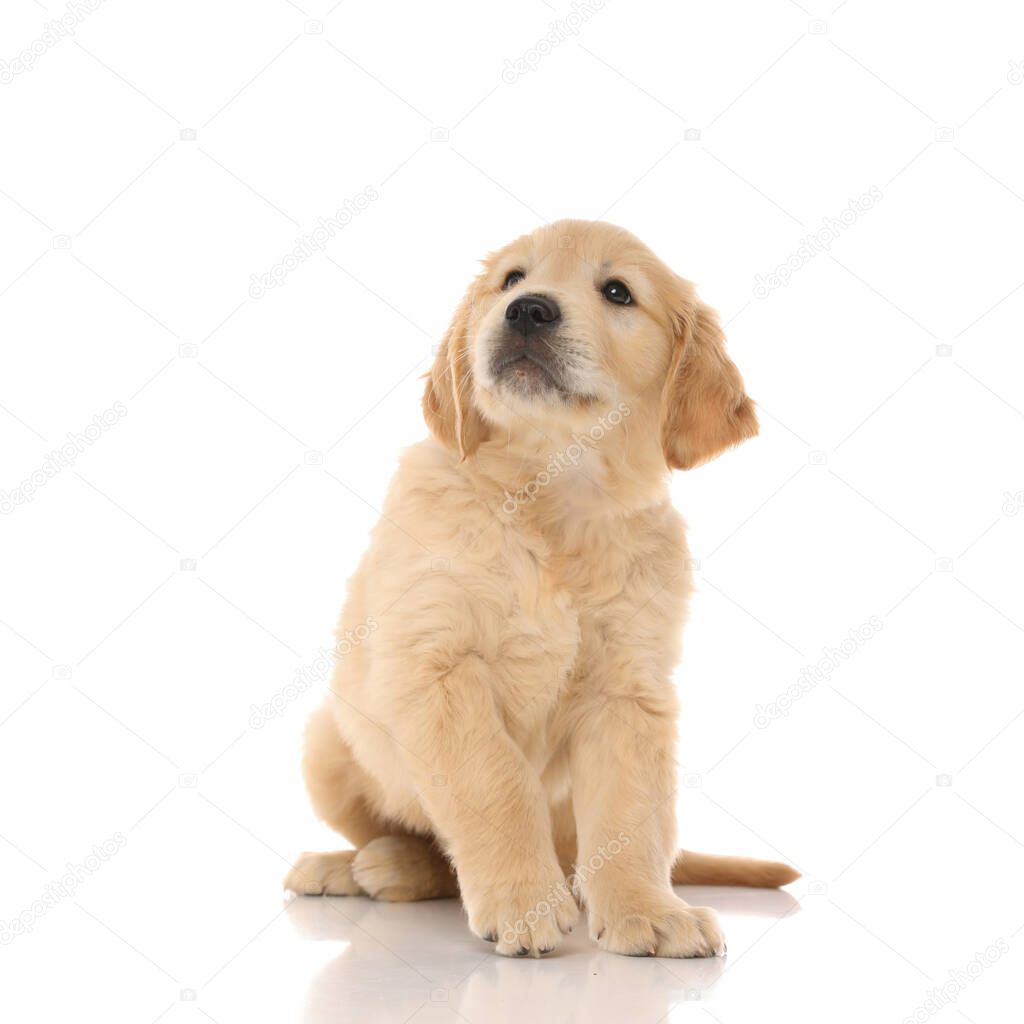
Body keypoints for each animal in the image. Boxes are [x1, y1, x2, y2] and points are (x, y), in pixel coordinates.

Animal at [286, 218, 798, 958]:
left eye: (618, 292)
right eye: (512, 279)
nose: (528, 311)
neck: (551, 492)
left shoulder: (629, 689)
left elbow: (630, 817)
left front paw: (647, 911)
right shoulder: (438, 664)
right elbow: (493, 780)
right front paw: (524, 903)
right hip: (327, 742)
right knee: (416, 838)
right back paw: (357, 864)